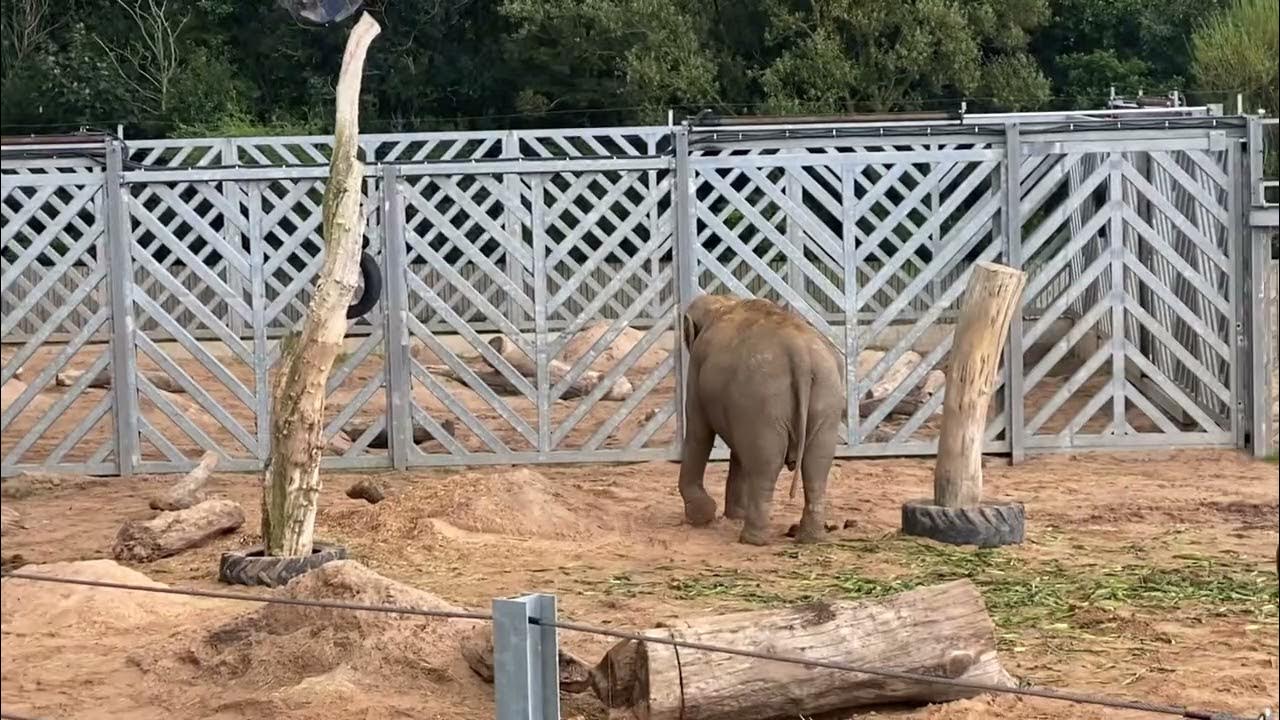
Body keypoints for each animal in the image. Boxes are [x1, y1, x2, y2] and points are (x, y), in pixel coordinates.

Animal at [677, 293, 847, 545]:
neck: (723, 303)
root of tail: (800, 352)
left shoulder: (697, 365)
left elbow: (699, 431)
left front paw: (702, 516)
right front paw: (733, 515)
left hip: (764, 401)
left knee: (765, 466)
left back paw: (751, 539)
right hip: (826, 398)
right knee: (817, 465)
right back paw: (811, 538)